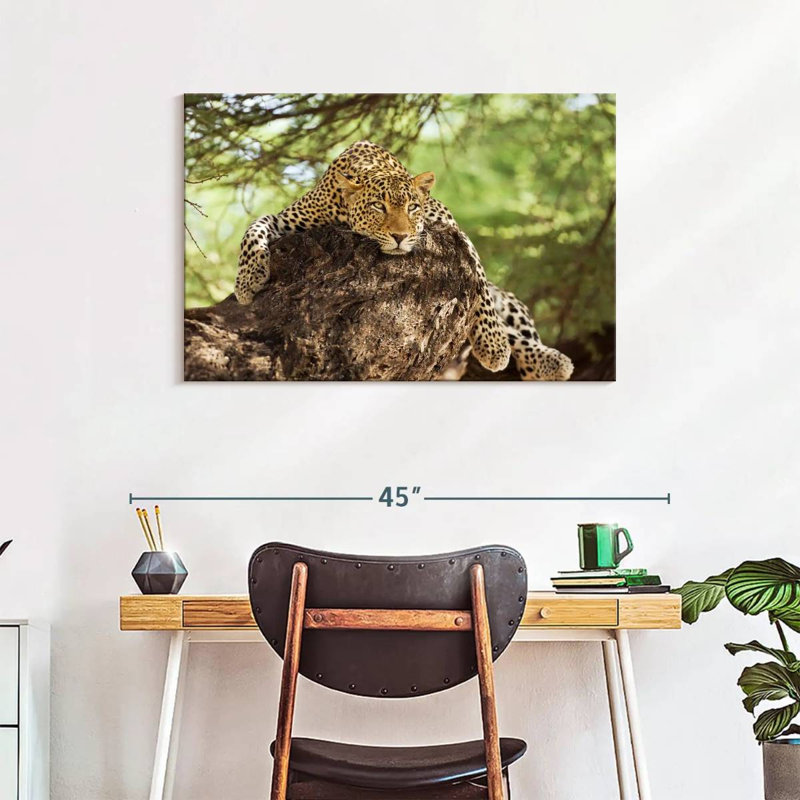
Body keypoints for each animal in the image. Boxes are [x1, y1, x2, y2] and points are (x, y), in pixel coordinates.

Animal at [235, 141, 573, 381]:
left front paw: (493, 346)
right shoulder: (287, 219)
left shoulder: (454, 232)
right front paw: (248, 280)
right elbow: (253, 228)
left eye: (412, 207)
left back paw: (548, 361)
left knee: (516, 328)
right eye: (377, 206)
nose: (399, 236)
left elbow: (479, 283)